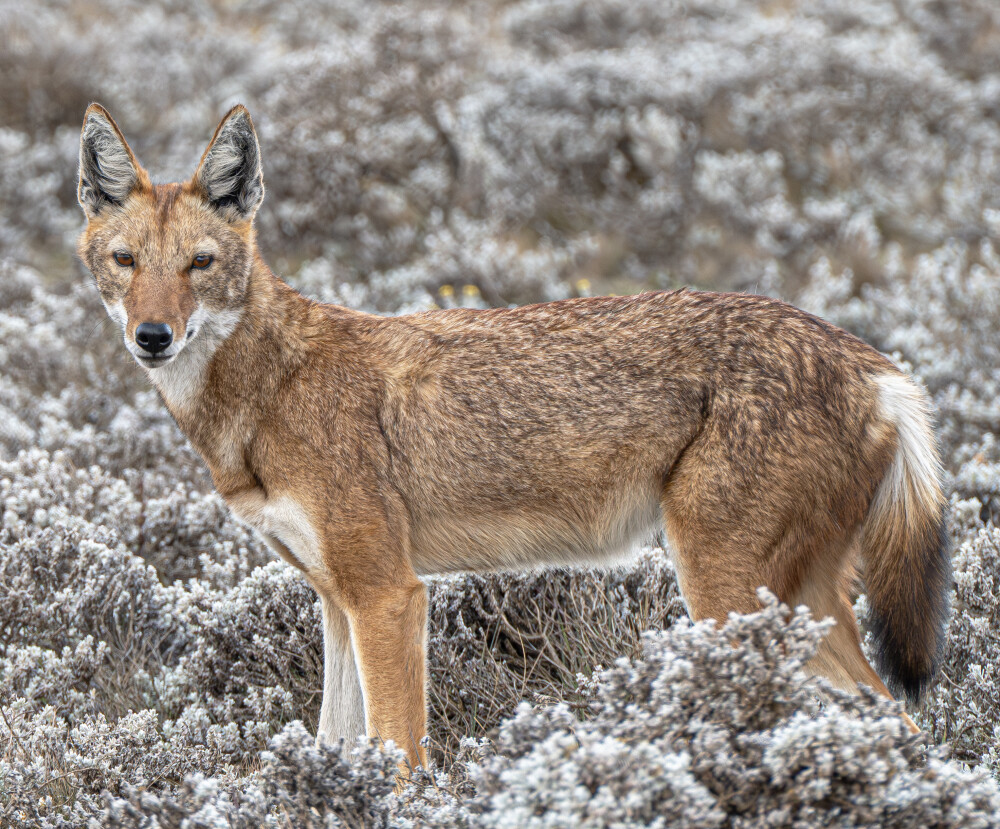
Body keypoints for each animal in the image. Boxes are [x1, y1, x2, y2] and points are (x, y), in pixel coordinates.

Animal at [76, 103, 950, 771]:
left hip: (726, 596)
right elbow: (335, 747)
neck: (268, 390)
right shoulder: (335, 600)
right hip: (791, 609)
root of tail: (876, 365)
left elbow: (401, 759)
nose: (152, 336)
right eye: (126, 260)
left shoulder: (389, 596)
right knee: (902, 724)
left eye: (200, 263)